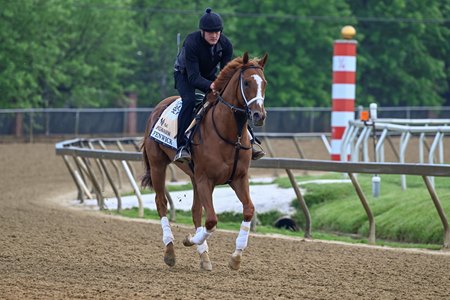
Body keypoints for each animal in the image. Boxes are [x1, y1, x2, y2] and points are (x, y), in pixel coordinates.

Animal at [142, 52, 268, 272]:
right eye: (246, 82)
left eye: (265, 83)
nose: (259, 115)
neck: (229, 135)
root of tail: (159, 107)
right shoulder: (205, 179)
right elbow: (210, 220)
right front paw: (189, 240)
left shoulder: (238, 178)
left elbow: (248, 210)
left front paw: (236, 257)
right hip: (158, 165)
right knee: (161, 203)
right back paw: (170, 252)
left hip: (193, 176)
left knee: (194, 211)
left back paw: (204, 257)